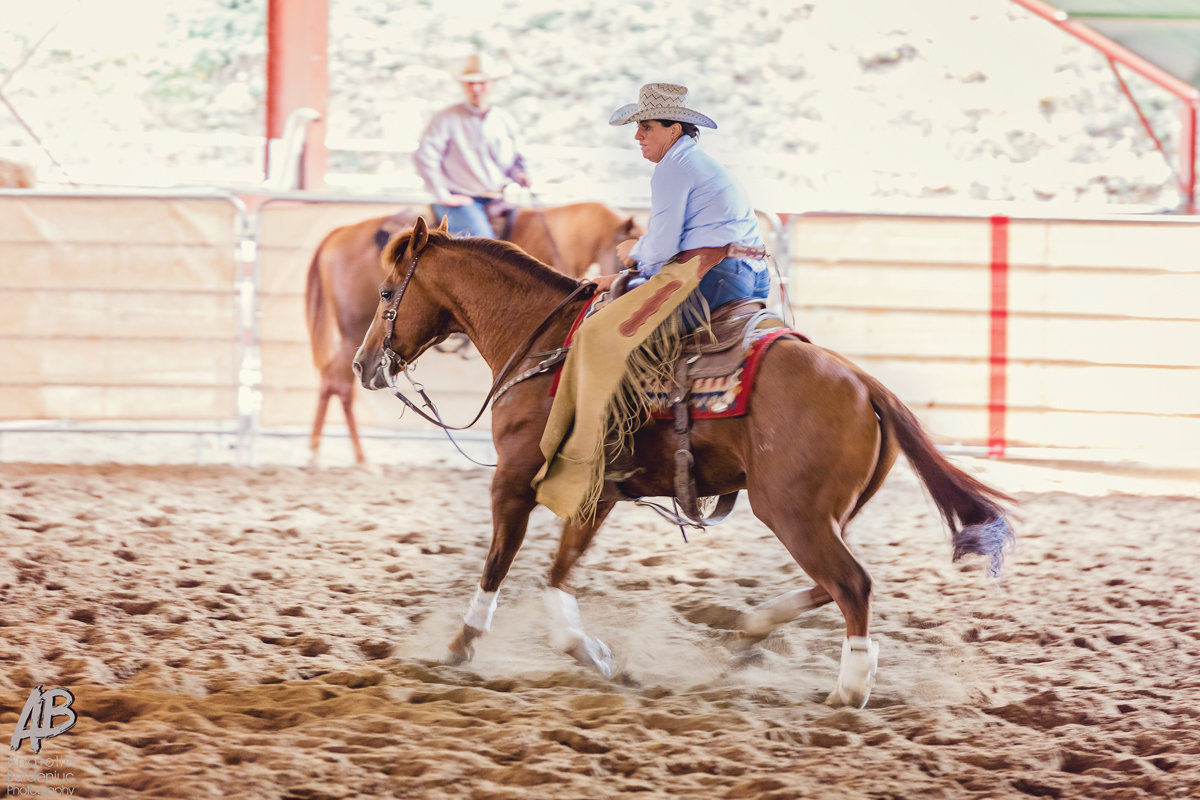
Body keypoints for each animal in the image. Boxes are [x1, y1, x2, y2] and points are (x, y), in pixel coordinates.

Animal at [350, 219, 1012, 705]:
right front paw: (592, 653)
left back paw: (847, 691)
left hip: (792, 513)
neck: (547, 347)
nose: (362, 365)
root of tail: (864, 382)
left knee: (851, 584)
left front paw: (460, 646)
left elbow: (497, 565)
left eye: (385, 293)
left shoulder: (513, 482)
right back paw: (749, 633)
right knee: (837, 585)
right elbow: (559, 574)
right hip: (825, 516)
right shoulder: (598, 493)